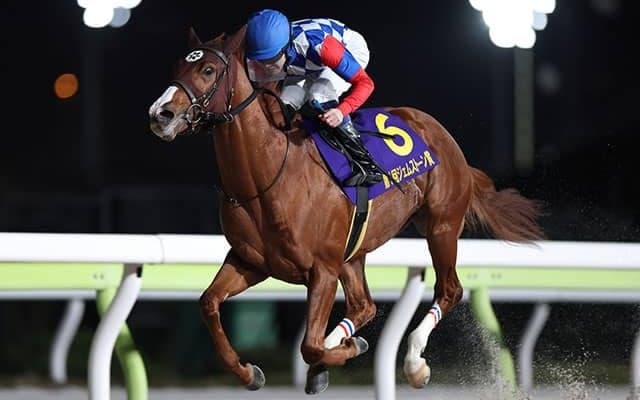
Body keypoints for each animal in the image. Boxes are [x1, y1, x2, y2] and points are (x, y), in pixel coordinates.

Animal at [148, 25, 545, 394]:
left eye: (208, 70)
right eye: (177, 66)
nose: (160, 114)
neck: (266, 178)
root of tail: (439, 131)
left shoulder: (322, 269)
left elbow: (309, 345)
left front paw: (345, 351)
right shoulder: (252, 262)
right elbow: (209, 303)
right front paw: (250, 373)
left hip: (442, 227)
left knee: (449, 290)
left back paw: (414, 364)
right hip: (354, 252)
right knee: (364, 305)